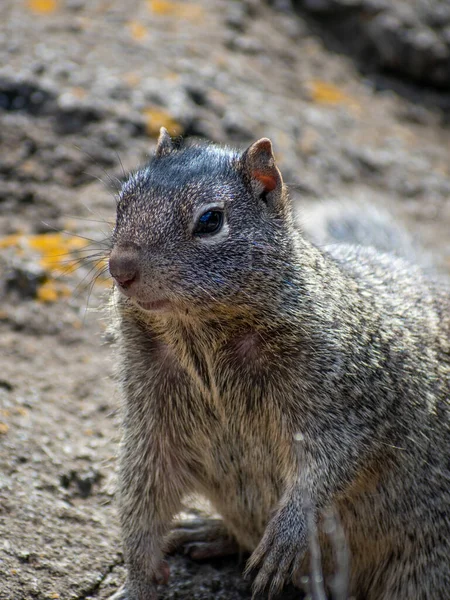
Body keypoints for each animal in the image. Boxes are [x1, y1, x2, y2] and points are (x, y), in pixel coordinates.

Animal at [107, 130, 448, 600]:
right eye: (121, 202)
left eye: (210, 221)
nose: (119, 268)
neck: (201, 336)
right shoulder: (151, 413)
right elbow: (141, 495)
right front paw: (137, 581)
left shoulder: (352, 401)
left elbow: (329, 467)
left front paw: (286, 535)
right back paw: (208, 533)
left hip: (422, 572)